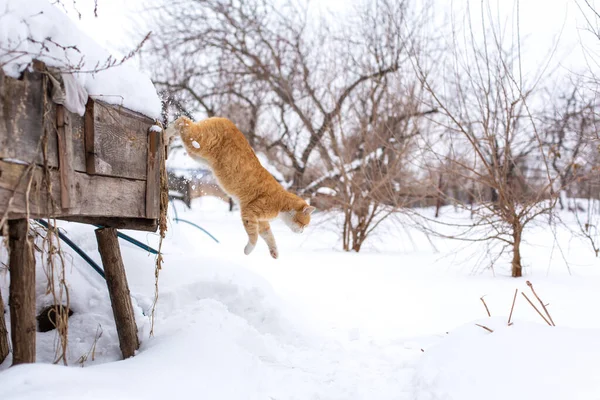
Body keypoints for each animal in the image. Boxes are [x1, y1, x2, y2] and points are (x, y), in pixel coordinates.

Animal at [164, 115, 314, 260]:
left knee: (182, 125)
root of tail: (226, 120)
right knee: (183, 121)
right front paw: (248, 250)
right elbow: (254, 236)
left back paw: (167, 137)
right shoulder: (249, 212)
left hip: (196, 154)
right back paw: (166, 135)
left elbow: (269, 236)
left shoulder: (262, 222)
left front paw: (274, 252)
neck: (282, 203)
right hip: (198, 142)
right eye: (304, 224)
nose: (302, 231)